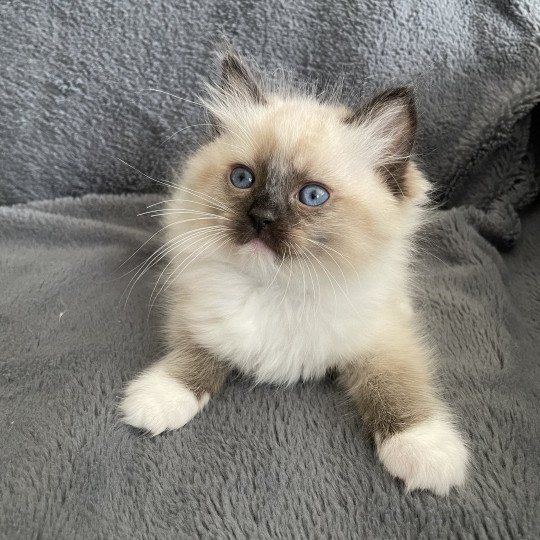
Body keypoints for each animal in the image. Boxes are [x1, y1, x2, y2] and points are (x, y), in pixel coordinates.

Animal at [120, 52, 466, 496]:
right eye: (242, 178)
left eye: (312, 196)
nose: (261, 218)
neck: (277, 289)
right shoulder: (197, 316)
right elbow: (195, 353)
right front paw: (159, 398)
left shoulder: (383, 337)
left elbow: (395, 385)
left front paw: (425, 451)